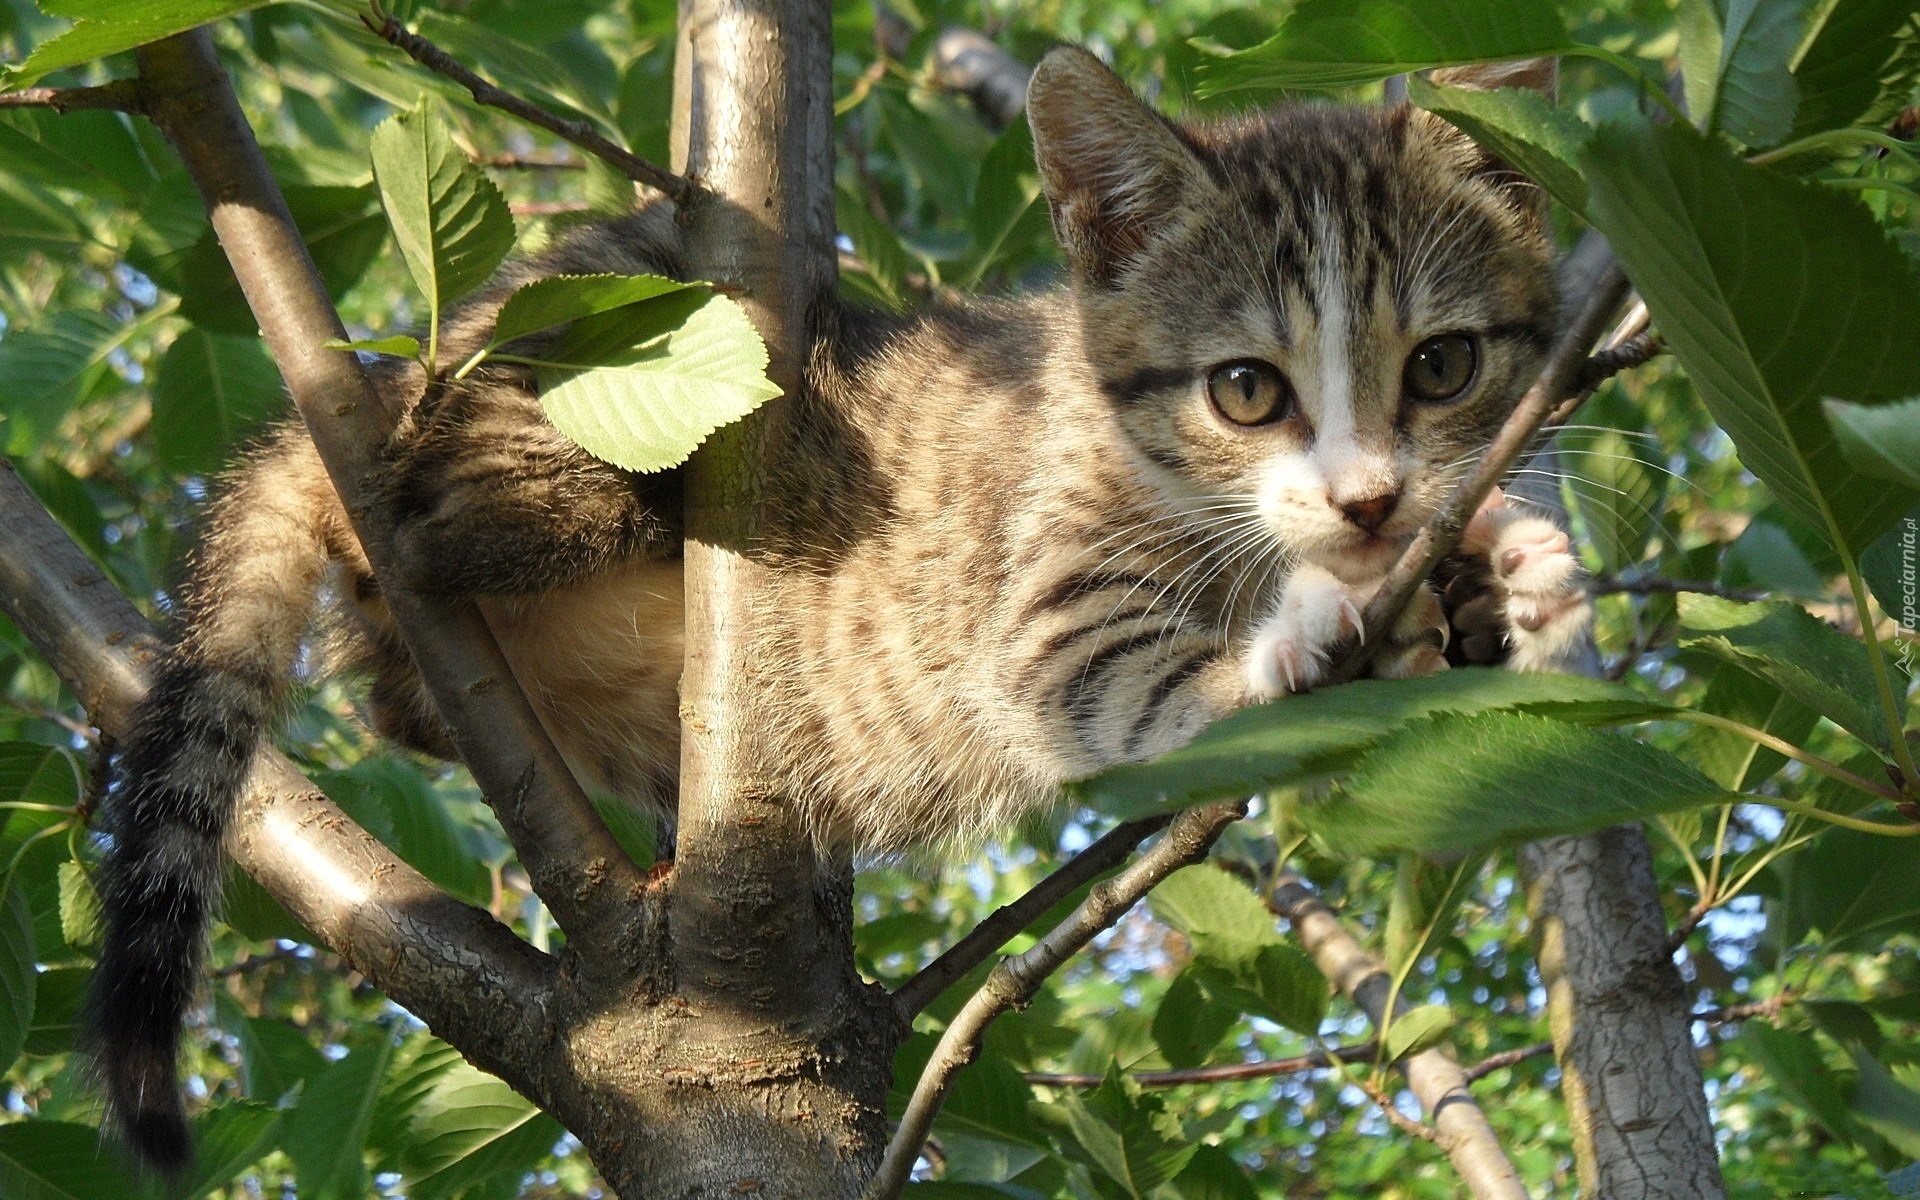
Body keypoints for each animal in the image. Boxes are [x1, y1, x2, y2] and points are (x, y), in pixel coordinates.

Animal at [90, 44, 1589, 1159]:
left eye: (1444, 366)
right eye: (1246, 391)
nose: (1371, 501)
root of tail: (390, 379)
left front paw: (1512, 581)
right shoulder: (1034, 588)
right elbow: (1122, 676)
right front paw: (1301, 635)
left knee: (401, 698)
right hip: (584, 376)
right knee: (445, 537)